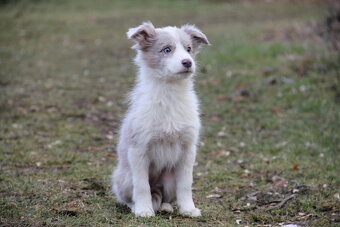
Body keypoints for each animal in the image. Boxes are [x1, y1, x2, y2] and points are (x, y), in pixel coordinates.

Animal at [111, 21, 209, 218]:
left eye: (188, 49)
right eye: (167, 50)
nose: (188, 62)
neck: (170, 92)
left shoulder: (188, 149)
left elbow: (186, 184)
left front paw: (188, 209)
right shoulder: (138, 149)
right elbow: (141, 186)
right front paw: (144, 210)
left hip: (169, 178)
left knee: (165, 195)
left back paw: (166, 206)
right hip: (125, 177)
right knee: (130, 196)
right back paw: (136, 206)